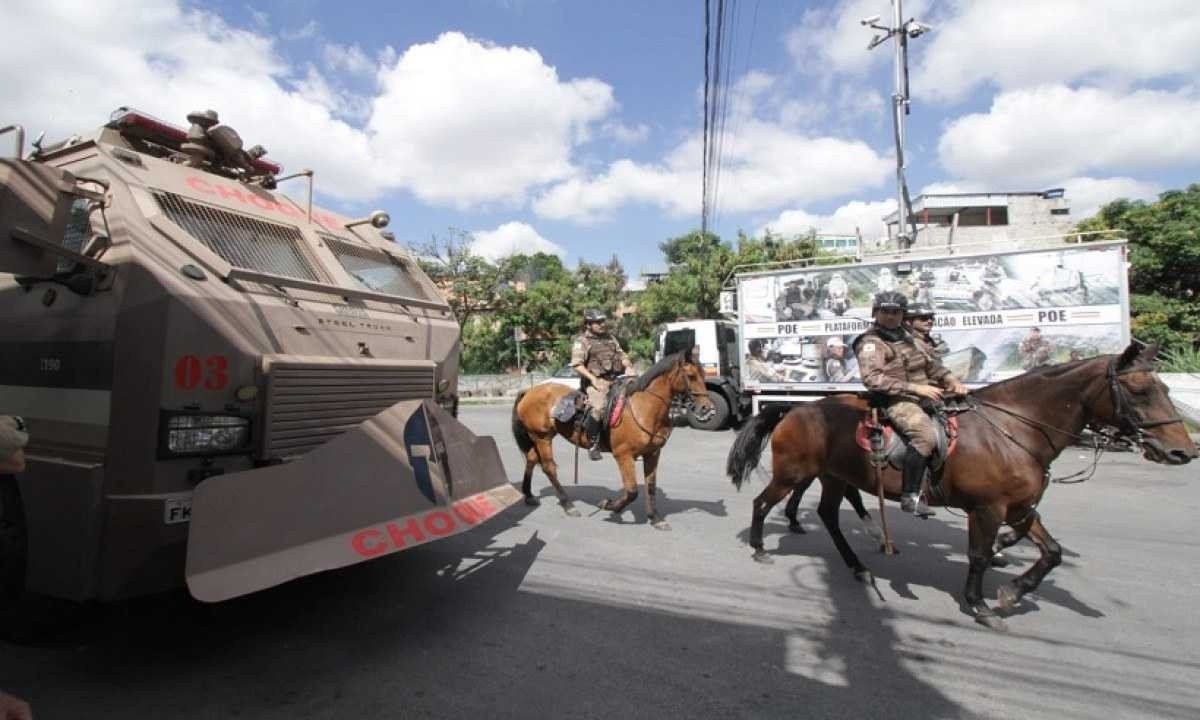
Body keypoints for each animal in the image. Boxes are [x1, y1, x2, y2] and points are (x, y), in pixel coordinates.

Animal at [513, 350, 715, 528]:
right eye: (691, 375)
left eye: (703, 374)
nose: (707, 408)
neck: (644, 408)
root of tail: (530, 391)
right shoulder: (623, 455)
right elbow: (632, 491)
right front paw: (610, 505)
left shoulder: (653, 454)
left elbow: (650, 486)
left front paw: (655, 518)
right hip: (542, 437)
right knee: (549, 467)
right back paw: (568, 505)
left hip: (541, 437)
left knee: (531, 458)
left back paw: (529, 495)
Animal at [724, 343, 1195, 628]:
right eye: (1139, 390)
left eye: (1164, 386)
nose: (1183, 451)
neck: (1014, 429)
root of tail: (793, 410)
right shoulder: (988, 509)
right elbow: (979, 555)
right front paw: (981, 603)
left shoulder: (1019, 508)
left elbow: (1052, 552)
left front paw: (1011, 591)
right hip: (793, 473)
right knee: (763, 503)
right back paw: (761, 546)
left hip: (834, 477)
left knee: (827, 515)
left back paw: (859, 565)